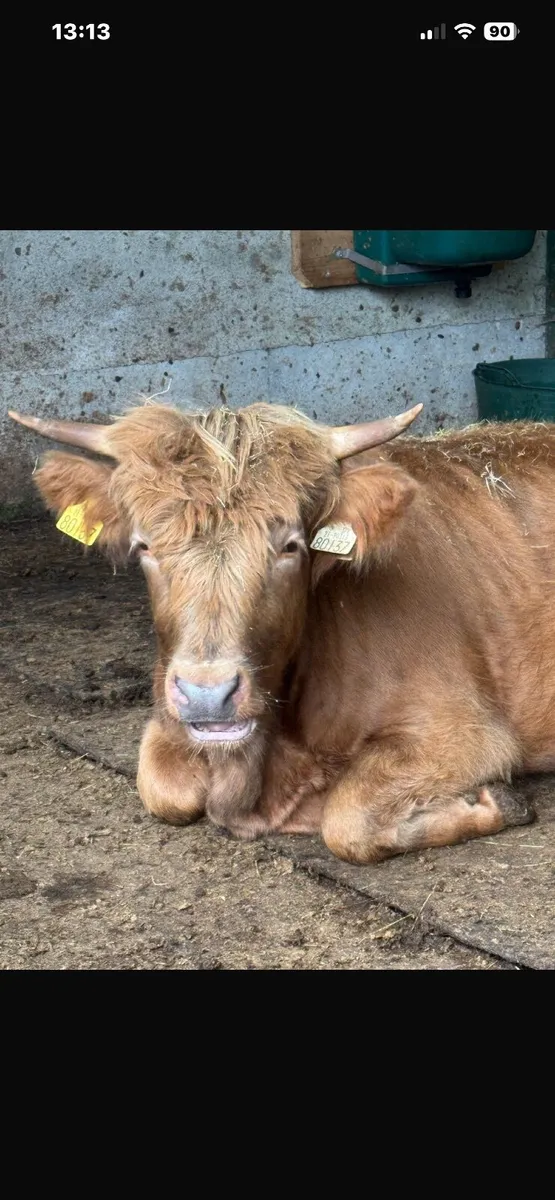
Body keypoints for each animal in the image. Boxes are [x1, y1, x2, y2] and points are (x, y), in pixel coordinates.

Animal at [11, 398, 553, 865]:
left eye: (290, 545)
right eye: (144, 545)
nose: (208, 694)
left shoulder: (465, 732)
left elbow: (346, 819)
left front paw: (499, 801)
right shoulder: (168, 714)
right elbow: (161, 788)